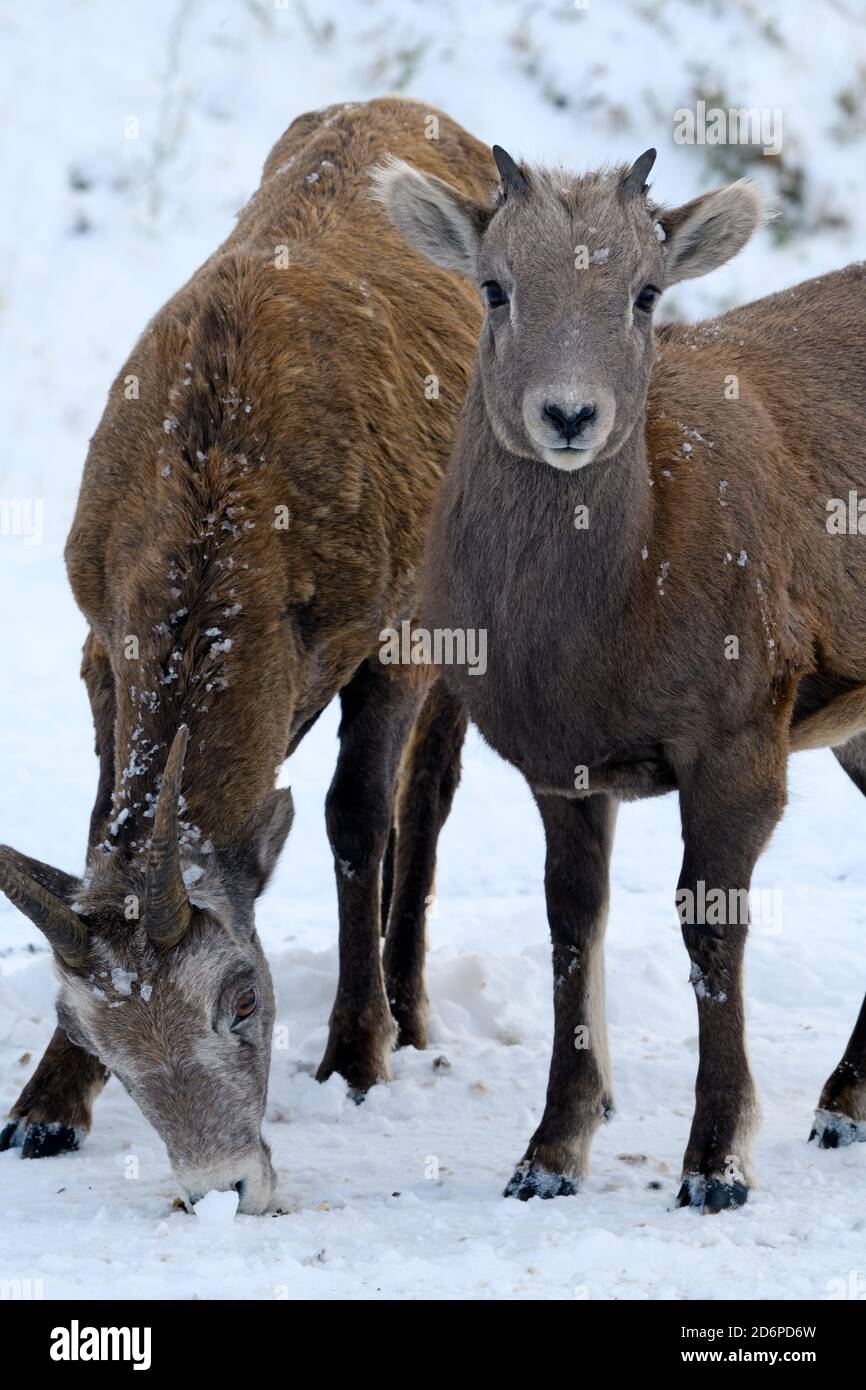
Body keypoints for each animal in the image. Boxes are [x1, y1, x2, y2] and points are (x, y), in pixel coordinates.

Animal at [0, 97, 494, 1212]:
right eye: (106, 1037)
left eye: (243, 999)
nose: (223, 1186)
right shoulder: (99, 634)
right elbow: (99, 834)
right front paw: (44, 1104)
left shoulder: (395, 626)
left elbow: (358, 819)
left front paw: (357, 1052)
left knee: (430, 793)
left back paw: (410, 1006)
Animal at [378, 146, 866, 1212]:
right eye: (495, 286)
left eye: (645, 292)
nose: (568, 414)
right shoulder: (562, 773)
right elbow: (574, 926)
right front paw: (550, 1156)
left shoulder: (736, 746)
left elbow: (710, 934)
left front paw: (716, 1166)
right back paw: (845, 1101)